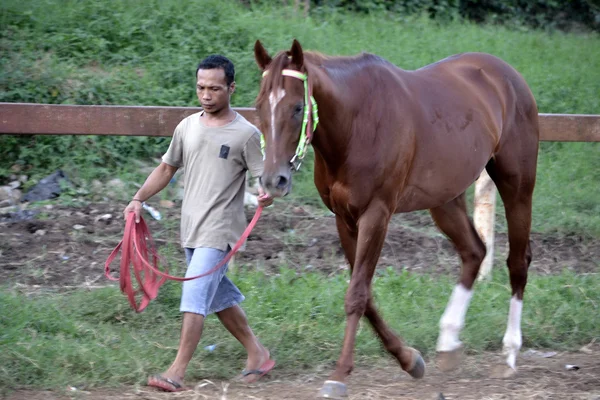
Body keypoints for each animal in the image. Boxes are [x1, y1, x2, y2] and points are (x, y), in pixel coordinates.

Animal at [252, 39, 540, 396]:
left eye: (296, 107)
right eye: (259, 106)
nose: (272, 180)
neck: (356, 122)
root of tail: (507, 74)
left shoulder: (376, 214)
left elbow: (357, 294)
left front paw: (339, 374)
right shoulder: (344, 219)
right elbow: (365, 295)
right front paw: (409, 359)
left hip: (517, 186)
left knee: (517, 262)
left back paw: (509, 353)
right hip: (445, 199)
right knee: (474, 251)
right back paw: (448, 341)